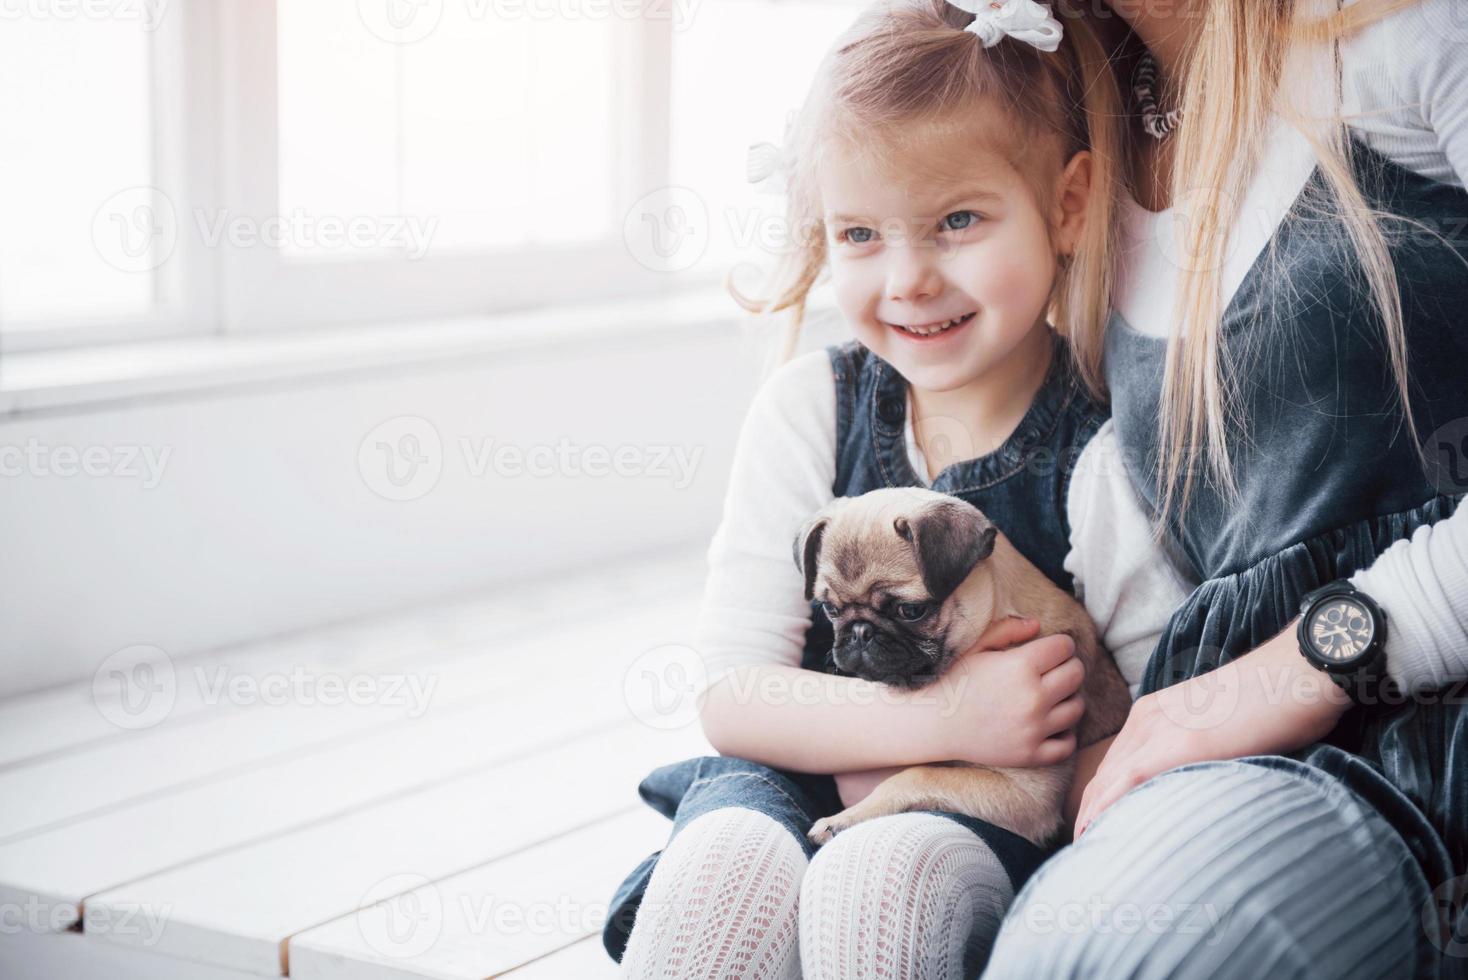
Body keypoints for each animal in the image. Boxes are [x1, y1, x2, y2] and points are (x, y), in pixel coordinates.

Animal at [798, 487, 1127, 845]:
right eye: (830, 609)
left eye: (910, 610)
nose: (860, 632)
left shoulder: (1027, 794)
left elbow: (917, 775)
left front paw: (845, 818)